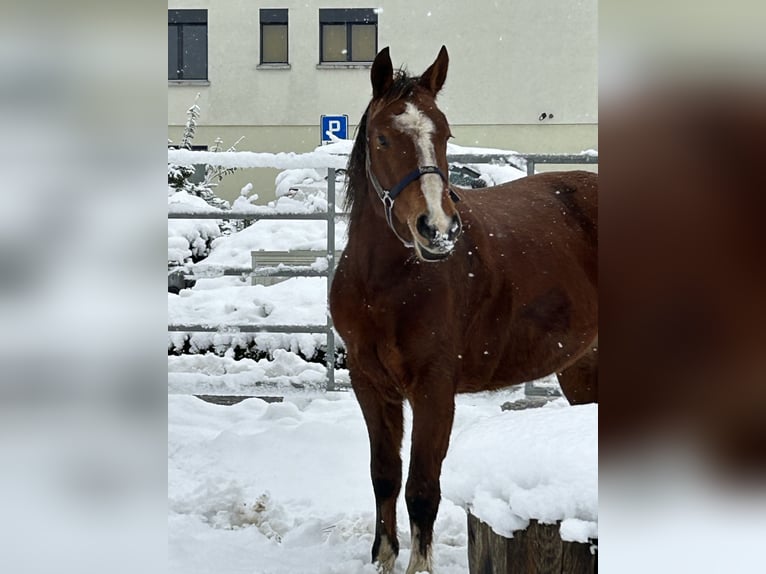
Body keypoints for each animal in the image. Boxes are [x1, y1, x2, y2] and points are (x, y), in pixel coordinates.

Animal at [330, 46, 600, 574]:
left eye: (445, 134)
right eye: (382, 137)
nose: (437, 229)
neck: (383, 284)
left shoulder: (434, 389)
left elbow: (421, 489)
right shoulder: (368, 382)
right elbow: (384, 475)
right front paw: (384, 558)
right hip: (583, 366)